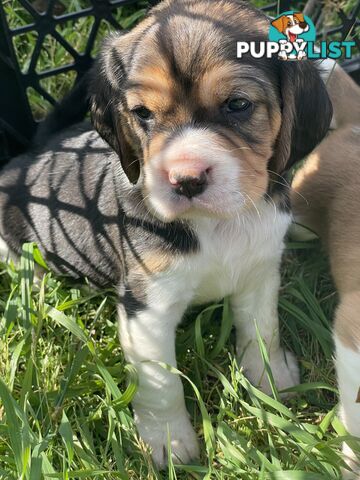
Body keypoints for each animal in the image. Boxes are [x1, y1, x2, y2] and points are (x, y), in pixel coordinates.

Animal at [0, 0, 332, 466]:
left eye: (237, 104)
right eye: (142, 114)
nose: (185, 180)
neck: (217, 223)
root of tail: (27, 156)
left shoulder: (261, 271)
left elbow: (262, 329)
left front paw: (272, 381)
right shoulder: (147, 309)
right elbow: (162, 385)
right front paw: (171, 444)